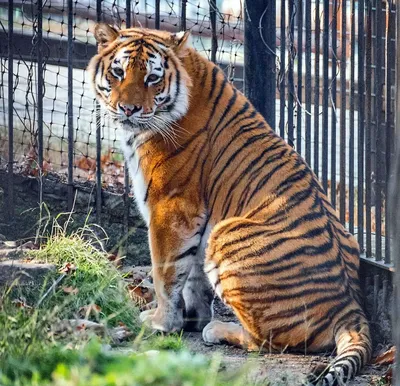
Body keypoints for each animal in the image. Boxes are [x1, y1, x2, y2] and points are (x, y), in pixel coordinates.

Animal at [88, 24, 372, 386]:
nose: (128, 109)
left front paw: (162, 323)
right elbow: (191, 276)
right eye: (118, 72)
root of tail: (350, 306)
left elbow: (165, 273)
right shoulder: (196, 221)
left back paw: (218, 329)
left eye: (152, 78)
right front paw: (190, 318)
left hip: (227, 234)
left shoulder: (172, 206)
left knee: (270, 340)